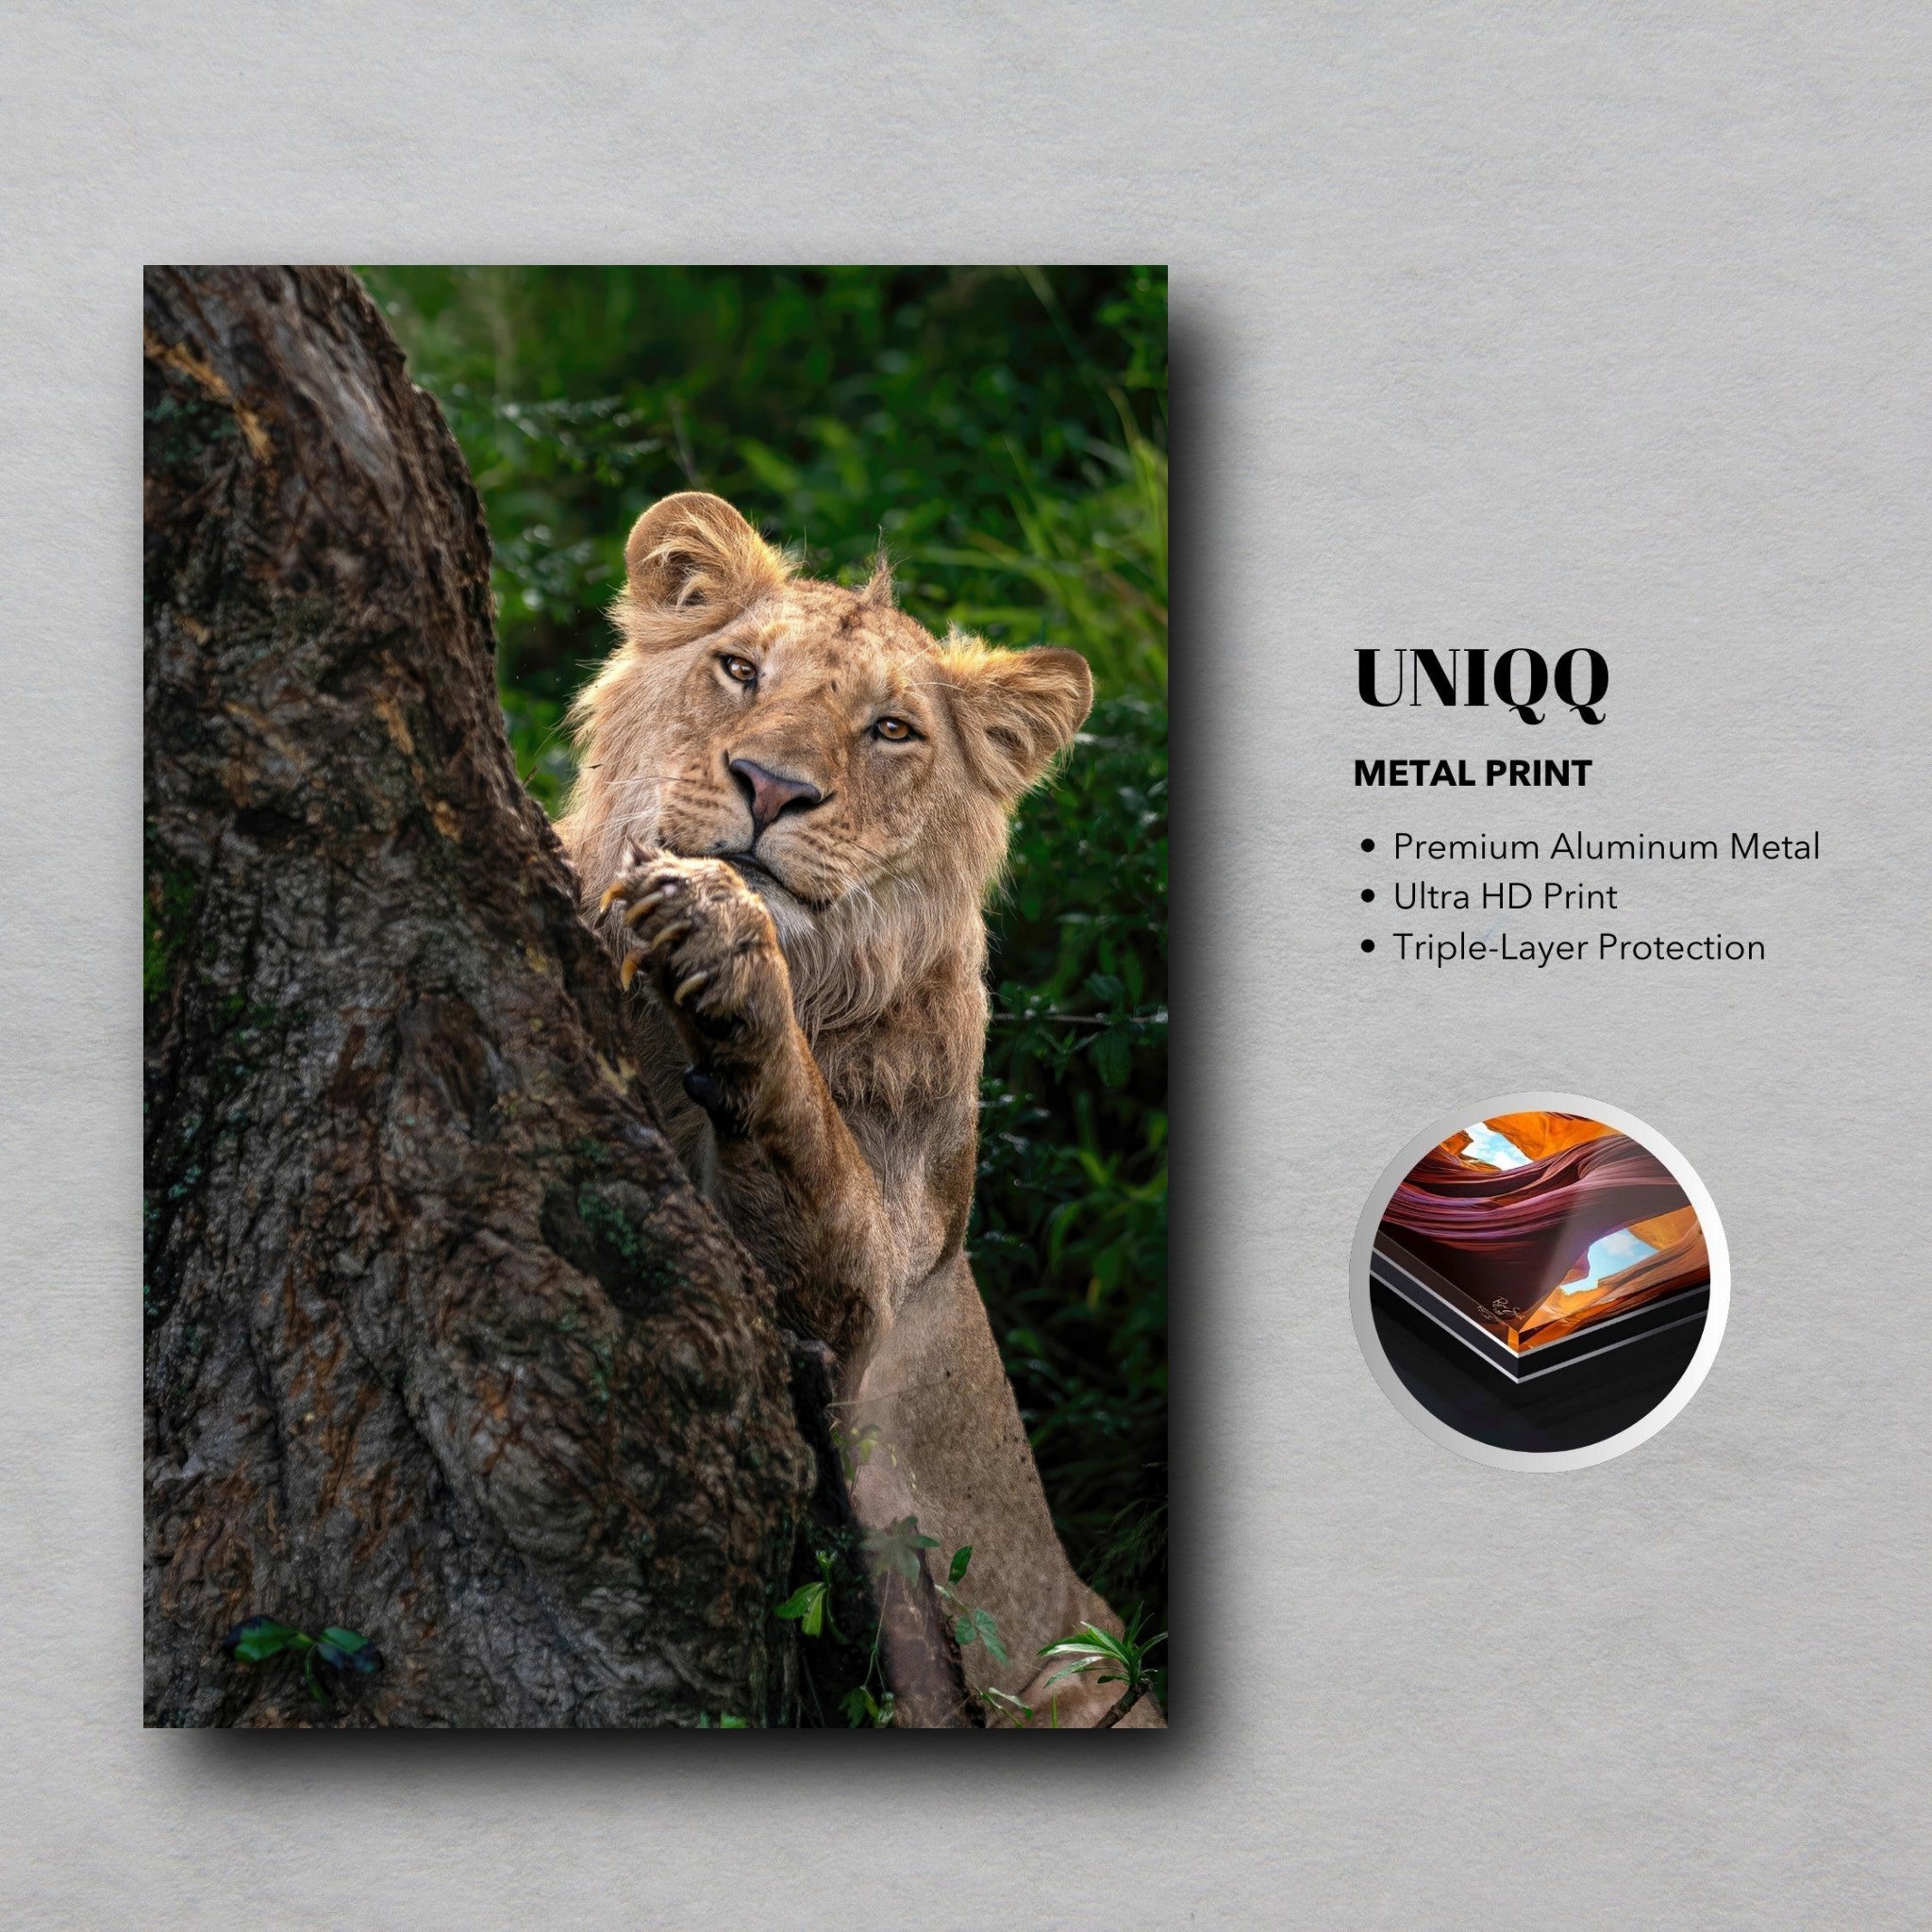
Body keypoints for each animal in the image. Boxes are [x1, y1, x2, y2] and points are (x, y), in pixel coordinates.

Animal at [554, 492, 1161, 1728]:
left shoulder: (868, 1308)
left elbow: (809, 1150)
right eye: (739, 668)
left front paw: (722, 934)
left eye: (890, 730)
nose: (772, 787)